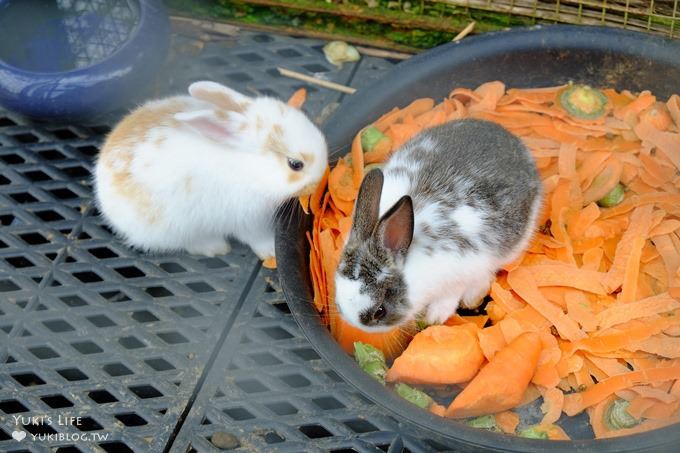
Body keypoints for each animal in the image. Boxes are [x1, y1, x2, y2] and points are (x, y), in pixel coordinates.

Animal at [334, 118, 540, 330]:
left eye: (380, 311)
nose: (354, 325)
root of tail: (513, 140)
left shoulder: (459, 274)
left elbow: (450, 296)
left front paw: (434, 317)